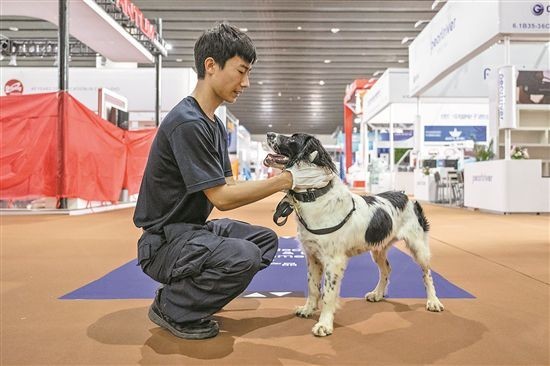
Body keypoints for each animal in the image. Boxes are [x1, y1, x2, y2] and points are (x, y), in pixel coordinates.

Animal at [266, 132, 444, 338]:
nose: (269, 134)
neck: (316, 196)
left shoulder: (333, 261)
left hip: (418, 246)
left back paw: (433, 301)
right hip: (378, 248)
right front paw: (308, 309)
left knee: (427, 274)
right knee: (386, 269)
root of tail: (407, 196)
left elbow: (327, 294)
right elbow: (312, 287)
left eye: (293, 139)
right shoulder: (312, 256)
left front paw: (324, 324)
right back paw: (377, 294)